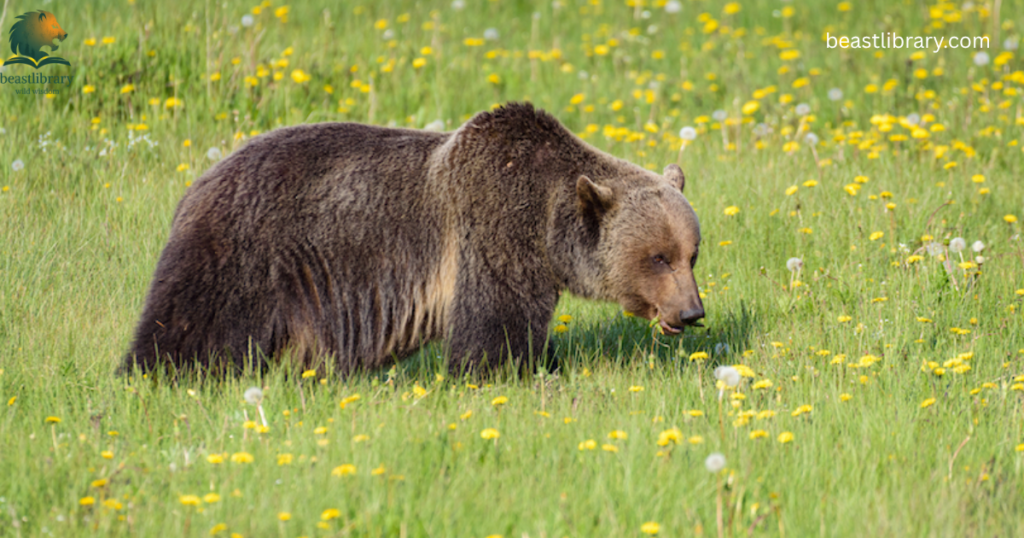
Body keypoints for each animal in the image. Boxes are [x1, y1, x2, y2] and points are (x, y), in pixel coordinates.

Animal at [121, 102, 703, 376]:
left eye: (691, 254)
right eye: (658, 257)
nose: (692, 312)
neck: (546, 224)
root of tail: (199, 181)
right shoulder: (490, 231)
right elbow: (493, 327)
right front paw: (509, 371)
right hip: (241, 253)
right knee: (189, 325)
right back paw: (154, 372)